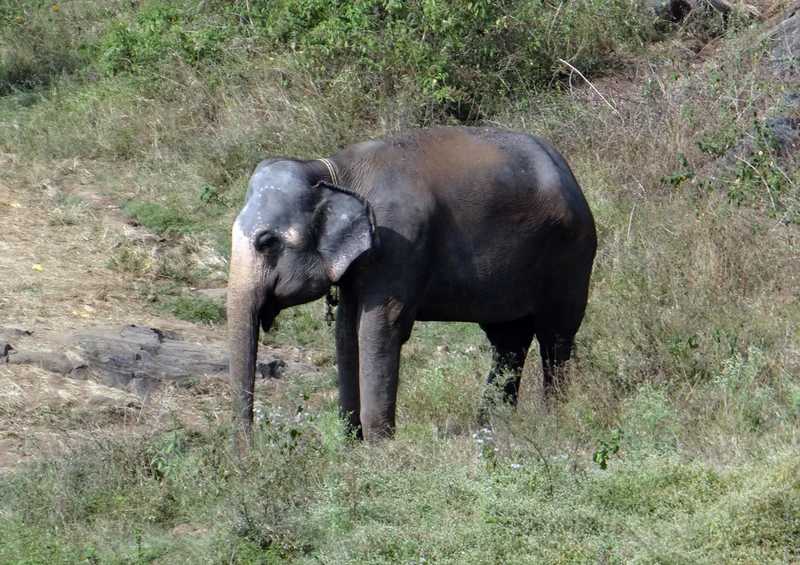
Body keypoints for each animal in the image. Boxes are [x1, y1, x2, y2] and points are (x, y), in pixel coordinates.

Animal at [228, 127, 597, 445]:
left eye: (267, 242)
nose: (249, 454)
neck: (330, 170)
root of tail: (568, 172)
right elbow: (346, 332)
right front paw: (351, 443)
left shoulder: (399, 243)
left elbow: (379, 328)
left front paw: (379, 447)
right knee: (508, 340)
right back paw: (493, 426)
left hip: (571, 259)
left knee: (555, 336)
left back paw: (552, 419)